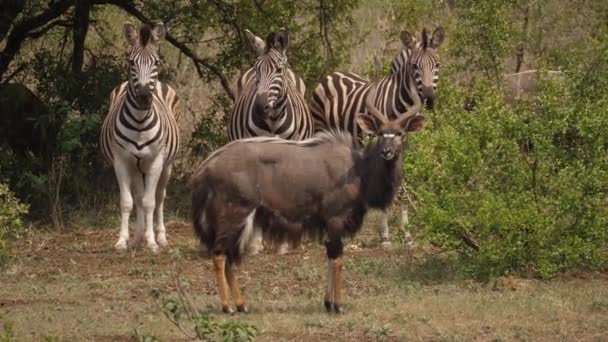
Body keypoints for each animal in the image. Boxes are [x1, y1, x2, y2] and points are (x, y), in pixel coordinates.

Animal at [100, 20, 179, 251]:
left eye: (156, 62)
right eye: (131, 62)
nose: (144, 97)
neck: (139, 122)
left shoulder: (155, 161)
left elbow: (150, 202)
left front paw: (152, 242)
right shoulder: (121, 161)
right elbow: (128, 202)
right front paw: (122, 241)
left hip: (167, 164)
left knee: (159, 197)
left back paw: (160, 237)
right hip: (136, 166)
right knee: (138, 196)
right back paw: (137, 237)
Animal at [227, 28, 314, 254]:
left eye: (278, 70)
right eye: (258, 71)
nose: (260, 107)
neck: (274, 120)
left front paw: (283, 244)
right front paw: (256, 242)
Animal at [312, 26, 444, 246]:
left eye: (437, 65)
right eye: (414, 66)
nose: (429, 100)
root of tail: (334, 73)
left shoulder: (406, 145)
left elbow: (403, 187)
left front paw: (407, 235)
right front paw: (385, 235)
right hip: (320, 129)